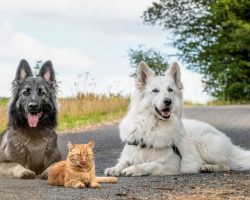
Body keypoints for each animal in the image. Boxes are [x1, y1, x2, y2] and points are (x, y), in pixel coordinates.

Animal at [104, 61, 250, 176]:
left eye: (170, 90)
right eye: (155, 90)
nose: (168, 101)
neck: (153, 125)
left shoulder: (171, 164)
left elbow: (149, 164)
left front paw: (134, 169)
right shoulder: (131, 153)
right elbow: (123, 162)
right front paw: (114, 169)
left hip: (206, 146)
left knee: (225, 164)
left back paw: (208, 167)